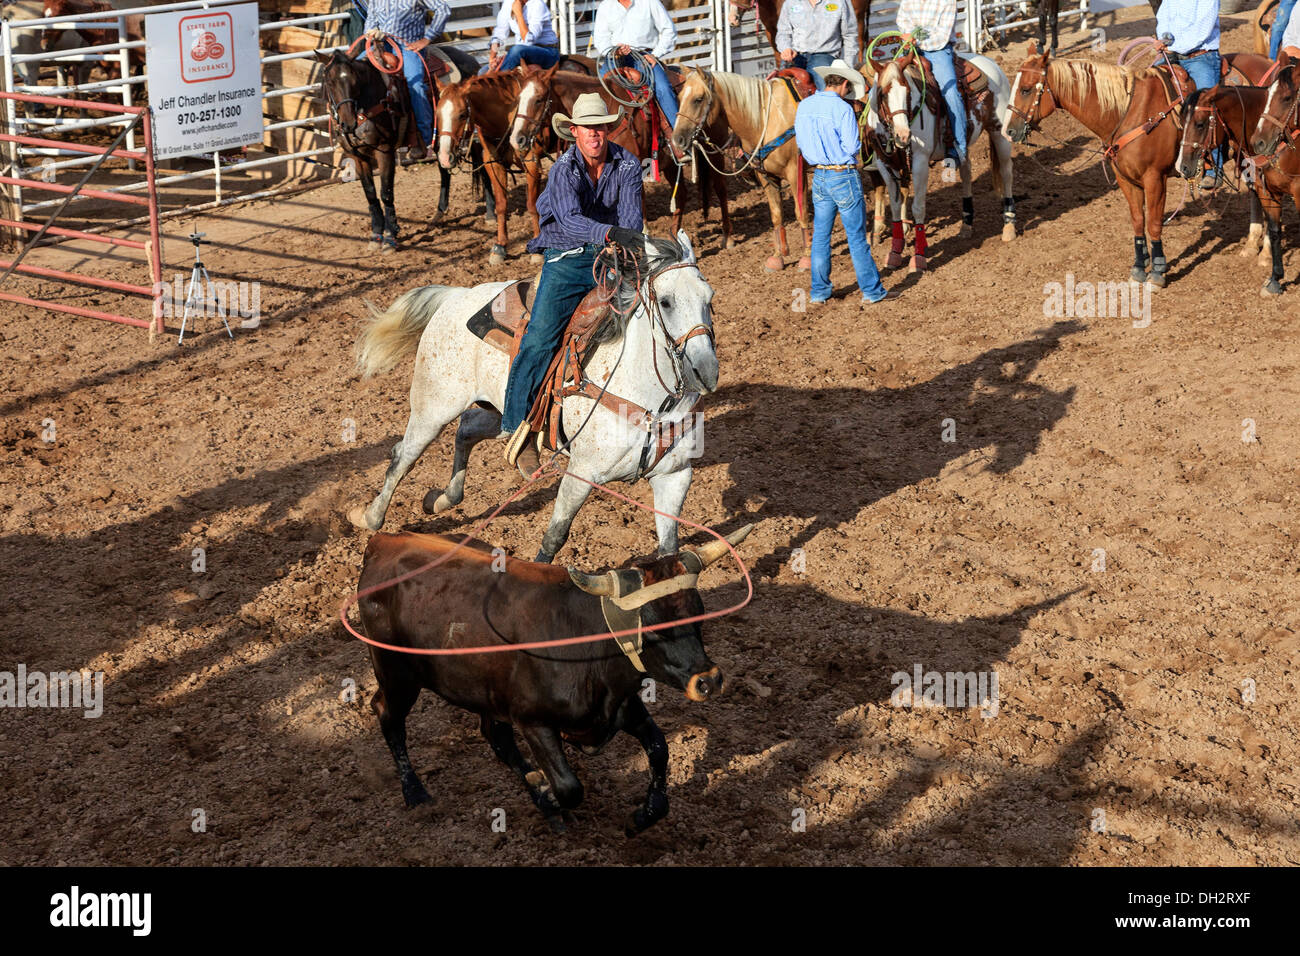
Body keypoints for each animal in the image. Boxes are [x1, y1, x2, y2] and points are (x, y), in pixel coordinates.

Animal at [348, 232, 722, 564]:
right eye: (666, 301)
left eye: (709, 298)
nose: (705, 371)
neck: (651, 404)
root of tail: (457, 295)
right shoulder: (581, 474)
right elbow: (555, 536)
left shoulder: (675, 477)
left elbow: (669, 548)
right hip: (433, 406)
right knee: (403, 456)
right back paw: (370, 517)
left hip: (500, 412)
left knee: (467, 429)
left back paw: (442, 500)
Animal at [676, 67, 806, 270]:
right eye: (680, 96)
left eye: (698, 99)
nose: (677, 139)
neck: (767, 119)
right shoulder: (767, 177)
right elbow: (776, 215)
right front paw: (778, 257)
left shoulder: (795, 173)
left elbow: (801, 213)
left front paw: (807, 258)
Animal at [868, 51, 1019, 270]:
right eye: (883, 94)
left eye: (908, 93)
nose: (903, 136)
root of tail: (992, 63)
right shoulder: (885, 165)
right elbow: (896, 207)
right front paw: (895, 252)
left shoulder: (920, 162)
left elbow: (918, 207)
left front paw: (919, 257)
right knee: (967, 173)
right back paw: (966, 224)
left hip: (999, 132)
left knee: (1007, 173)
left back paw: (1008, 226)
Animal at [1003, 41, 1190, 287]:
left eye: (1025, 89)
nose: (1008, 130)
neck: (1133, 111)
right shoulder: (1125, 178)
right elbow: (1138, 220)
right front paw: (1139, 268)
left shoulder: (1155, 178)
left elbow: (1154, 223)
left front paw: (1158, 272)